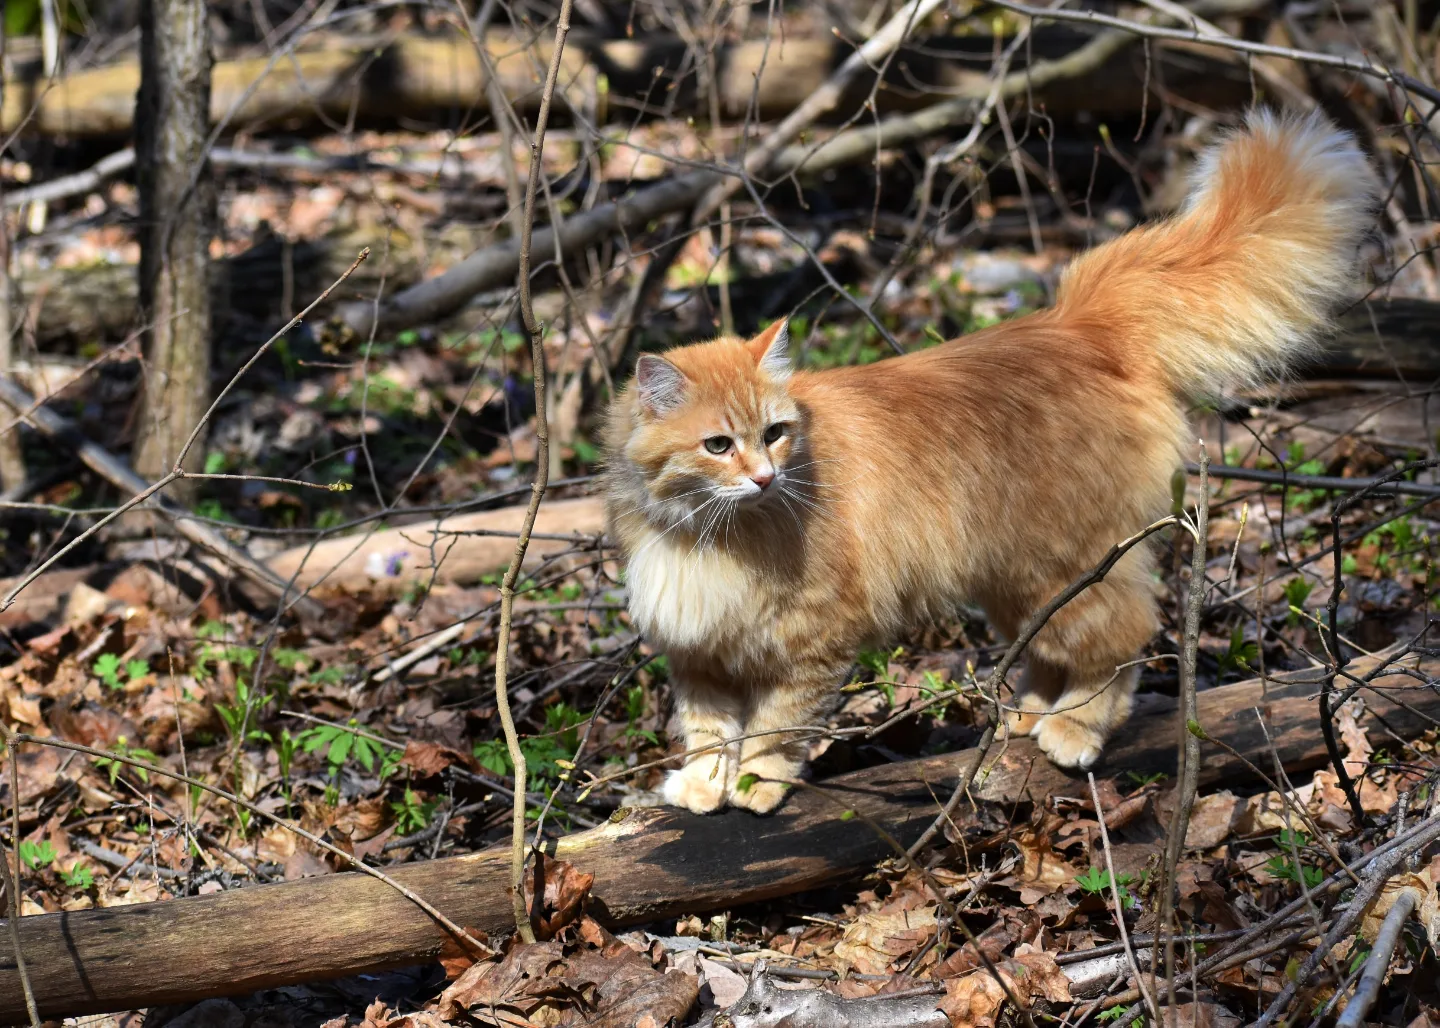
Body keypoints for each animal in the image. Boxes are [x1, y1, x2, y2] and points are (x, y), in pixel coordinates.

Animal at [599, 110, 1382, 817]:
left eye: (775, 433)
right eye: (719, 446)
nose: (765, 478)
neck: (707, 537)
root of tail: (1076, 326)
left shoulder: (813, 640)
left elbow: (776, 725)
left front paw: (758, 783)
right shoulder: (697, 653)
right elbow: (708, 730)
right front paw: (703, 785)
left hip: (1072, 566)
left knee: (1123, 637)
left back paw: (1074, 727)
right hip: (1017, 581)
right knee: (1051, 649)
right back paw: (1028, 713)